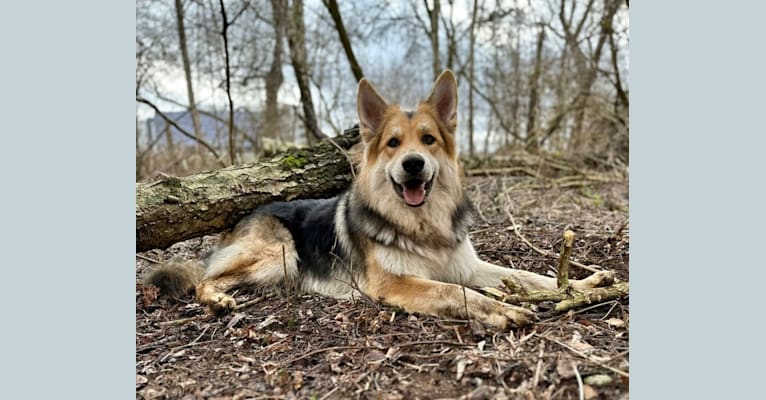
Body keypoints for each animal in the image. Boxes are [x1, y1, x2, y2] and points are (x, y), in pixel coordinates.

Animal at [148, 70, 616, 330]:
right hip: (277, 253)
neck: (422, 226)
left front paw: (584, 285)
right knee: (205, 279)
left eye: (428, 140)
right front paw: (499, 310)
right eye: (393, 143)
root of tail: (245, 214)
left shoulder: (471, 266)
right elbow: (453, 291)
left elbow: (531, 277)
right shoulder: (396, 283)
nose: (413, 164)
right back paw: (217, 300)